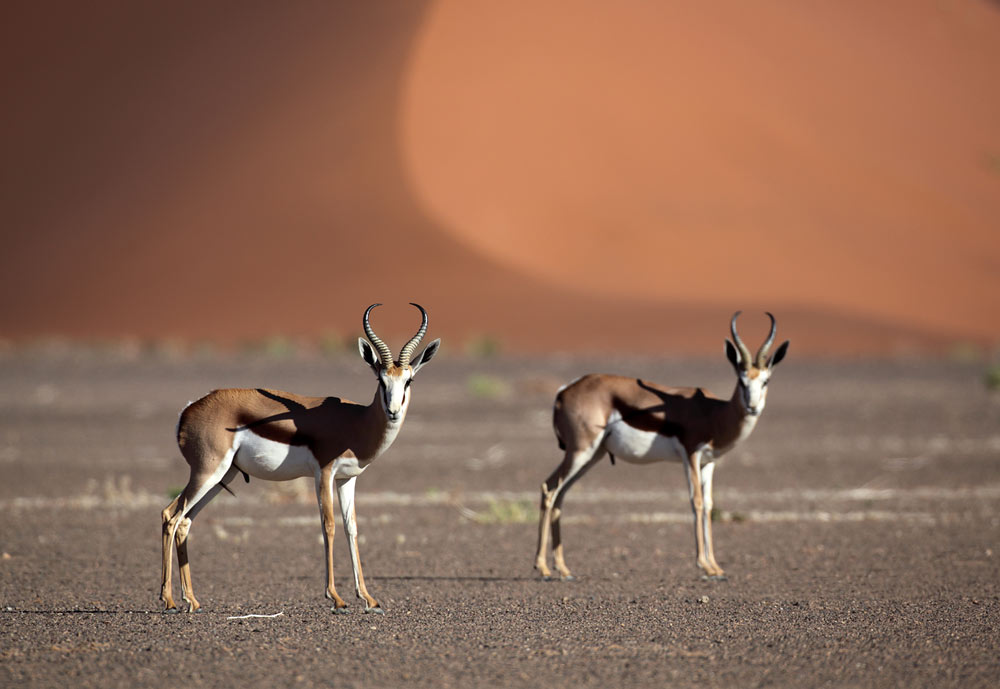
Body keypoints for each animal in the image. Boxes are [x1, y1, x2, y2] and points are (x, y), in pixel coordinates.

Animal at [161, 302, 442, 612]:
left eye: (409, 380)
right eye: (381, 380)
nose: (393, 411)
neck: (357, 422)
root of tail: (189, 410)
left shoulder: (347, 479)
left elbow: (351, 528)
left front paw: (367, 597)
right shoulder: (324, 472)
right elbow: (328, 525)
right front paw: (336, 597)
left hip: (223, 475)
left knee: (185, 521)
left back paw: (191, 600)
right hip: (207, 472)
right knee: (171, 517)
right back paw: (169, 599)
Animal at [536, 312, 784, 580]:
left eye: (766, 381)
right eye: (741, 380)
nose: (752, 407)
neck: (714, 413)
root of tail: (564, 391)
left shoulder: (709, 462)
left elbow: (708, 505)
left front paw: (716, 566)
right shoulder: (691, 455)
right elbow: (696, 501)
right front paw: (704, 565)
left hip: (593, 455)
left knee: (560, 495)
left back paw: (562, 568)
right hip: (581, 452)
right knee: (550, 489)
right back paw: (542, 567)